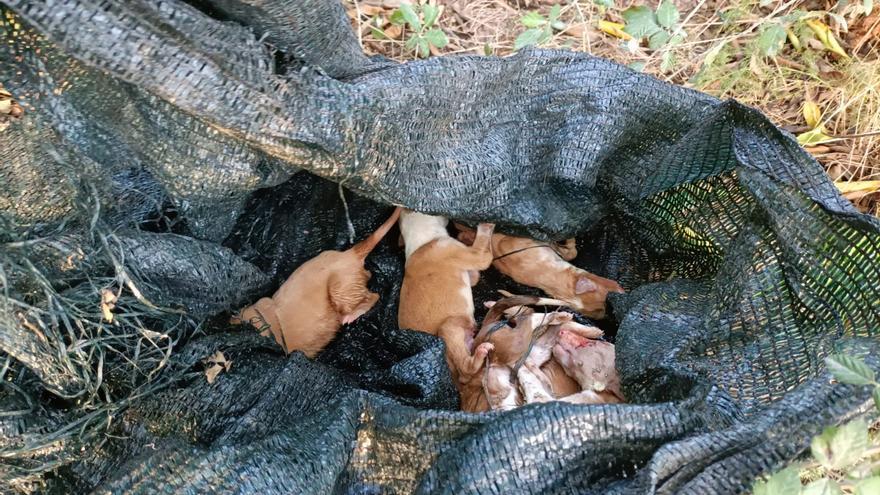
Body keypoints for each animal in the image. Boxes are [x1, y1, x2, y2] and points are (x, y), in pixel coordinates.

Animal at [398, 209, 496, 406]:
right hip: (448, 328)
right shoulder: (476, 255)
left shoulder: (471, 273)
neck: (422, 240)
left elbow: (474, 276)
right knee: (466, 369)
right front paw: (485, 224)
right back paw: (480, 354)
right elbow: (483, 246)